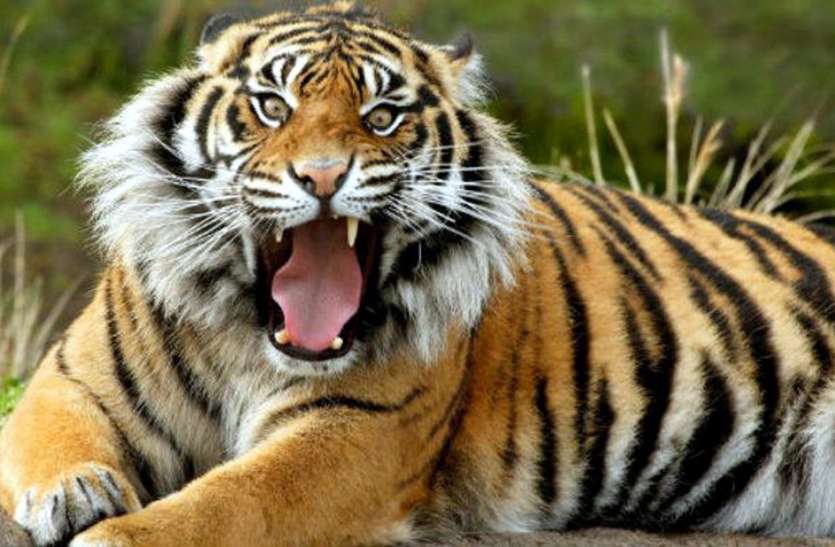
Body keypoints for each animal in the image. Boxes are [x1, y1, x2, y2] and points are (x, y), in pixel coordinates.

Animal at [2, 2, 835, 546]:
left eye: (382, 116)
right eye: (272, 106)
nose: (323, 175)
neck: (251, 335)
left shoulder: (355, 432)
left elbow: (227, 500)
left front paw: (114, 535)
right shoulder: (72, 374)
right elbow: (49, 433)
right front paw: (75, 491)